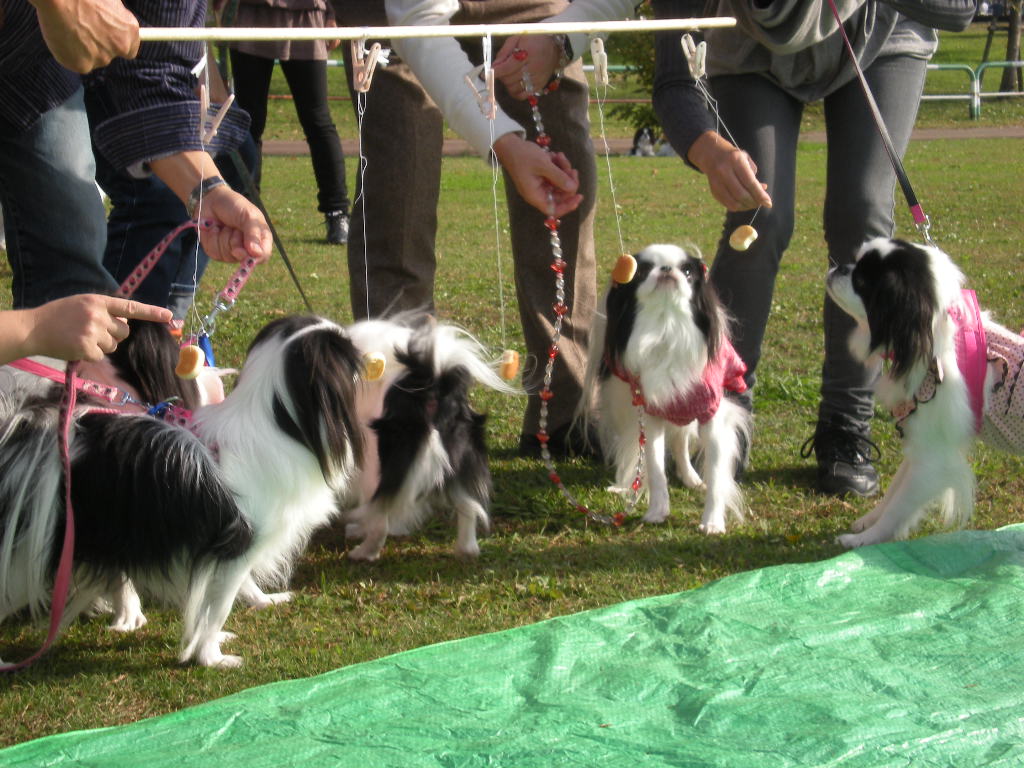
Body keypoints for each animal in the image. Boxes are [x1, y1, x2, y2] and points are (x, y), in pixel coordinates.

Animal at [0, 315, 366, 663]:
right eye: (347, 350)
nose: (362, 346)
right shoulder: (238, 547)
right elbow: (217, 610)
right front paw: (211, 657)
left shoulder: (228, 551)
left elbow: (227, 594)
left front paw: (262, 602)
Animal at [344, 315, 520, 561]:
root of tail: (436, 385)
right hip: (461, 460)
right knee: (468, 506)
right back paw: (467, 550)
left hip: (378, 466)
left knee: (380, 518)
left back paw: (364, 552)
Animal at [577, 243, 753, 532]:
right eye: (643, 270)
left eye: (688, 271)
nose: (667, 270)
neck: (665, 327)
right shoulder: (651, 415)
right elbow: (655, 467)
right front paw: (657, 510)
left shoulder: (711, 415)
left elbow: (716, 475)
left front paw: (712, 522)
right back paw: (625, 485)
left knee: (680, 442)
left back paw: (692, 479)